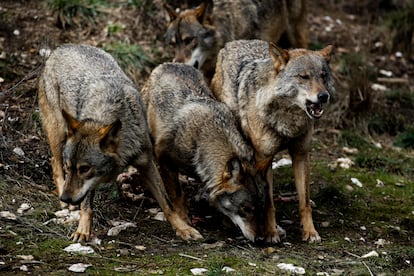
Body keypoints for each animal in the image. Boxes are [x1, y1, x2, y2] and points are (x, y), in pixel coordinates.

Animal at [212, 38, 334, 242]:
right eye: (304, 77)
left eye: (323, 76)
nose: (324, 96)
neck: (288, 123)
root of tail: (231, 43)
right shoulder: (264, 158)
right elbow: (268, 203)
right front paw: (270, 233)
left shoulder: (301, 154)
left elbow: (304, 202)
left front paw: (310, 232)